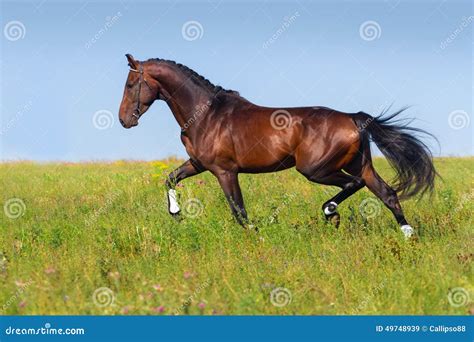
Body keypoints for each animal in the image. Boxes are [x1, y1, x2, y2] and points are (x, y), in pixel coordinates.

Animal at [119, 55, 436, 238]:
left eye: (131, 84)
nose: (124, 120)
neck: (206, 114)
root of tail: (354, 118)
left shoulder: (224, 171)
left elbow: (239, 211)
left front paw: (257, 234)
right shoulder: (198, 164)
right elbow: (170, 178)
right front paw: (175, 212)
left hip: (315, 169)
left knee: (353, 185)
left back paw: (330, 211)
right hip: (360, 164)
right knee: (388, 194)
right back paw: (408, 235)